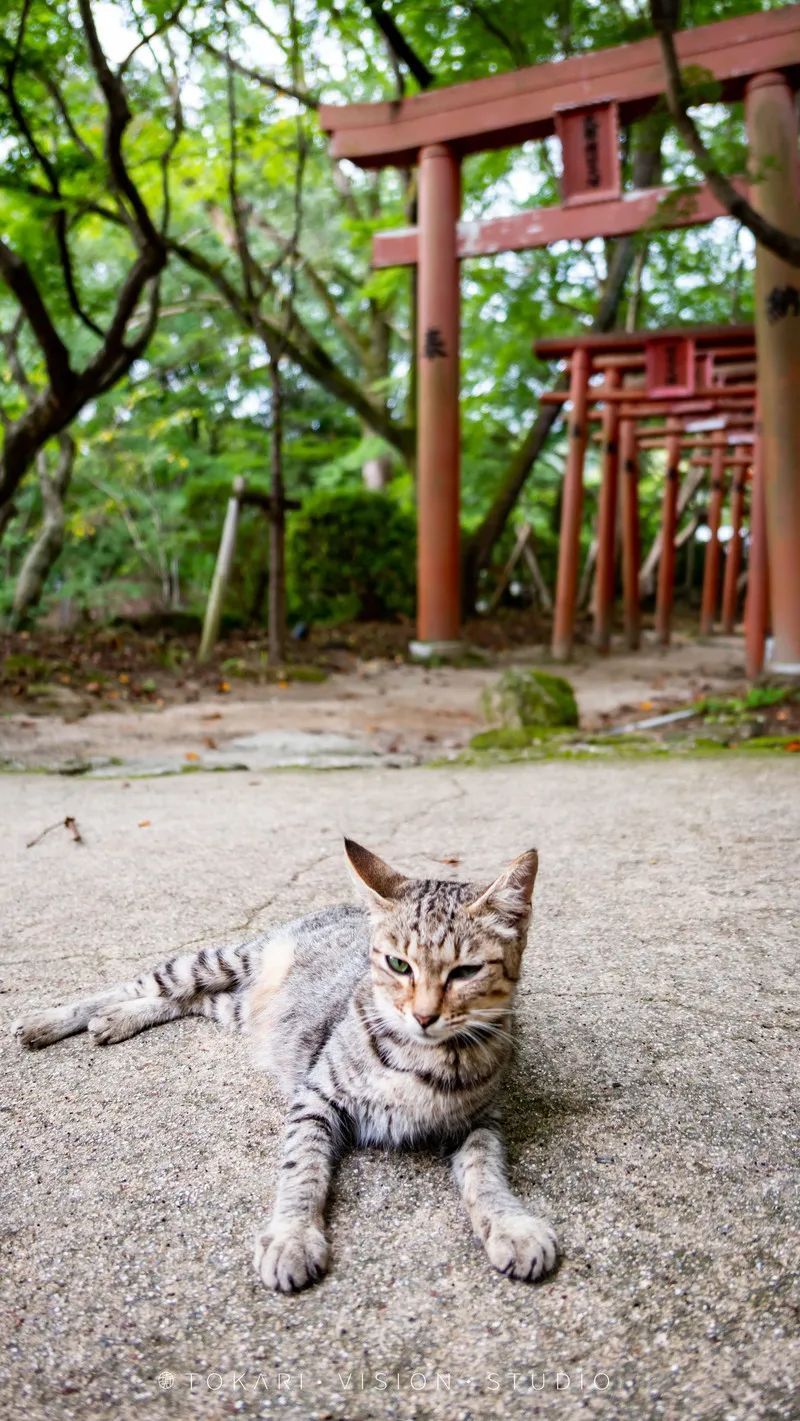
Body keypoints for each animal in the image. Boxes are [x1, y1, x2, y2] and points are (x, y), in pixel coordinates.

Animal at [15, 835, 559, 1295]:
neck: (423, 1054)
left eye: (465, 971)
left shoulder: (482, 1119)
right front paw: (292, 1236)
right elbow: (303, 1168)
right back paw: (54, 1019)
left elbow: (486, 1173)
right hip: (219, 960)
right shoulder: (316, 1096)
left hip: (231, 1006)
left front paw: (511, 1225)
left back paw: (116, 1020)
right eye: (398, 964)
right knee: (143, 985)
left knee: (185, 1001)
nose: (424, 1016)